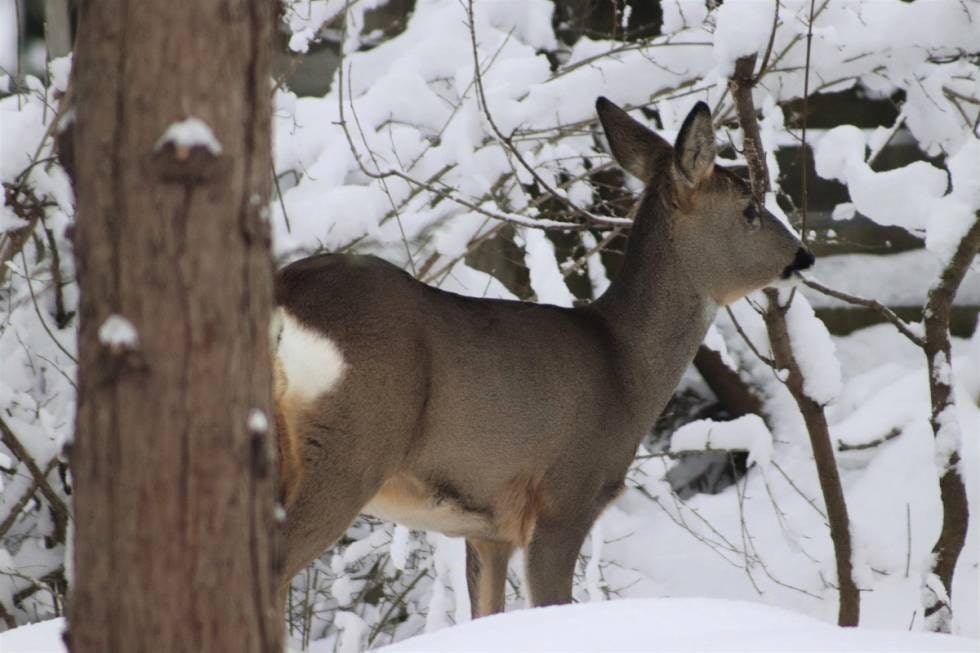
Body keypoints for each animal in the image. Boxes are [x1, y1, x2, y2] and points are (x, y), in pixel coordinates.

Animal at [272, 97, 816, 616]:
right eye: (749, 208)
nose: (803, 256)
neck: (623, 367)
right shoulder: (565, 496)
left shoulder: (488, 528)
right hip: (350, 443)